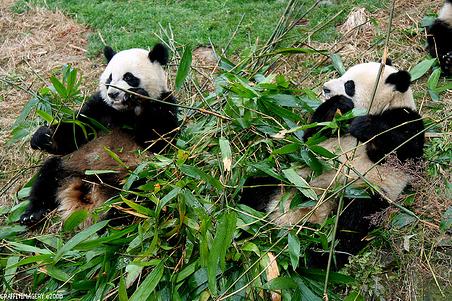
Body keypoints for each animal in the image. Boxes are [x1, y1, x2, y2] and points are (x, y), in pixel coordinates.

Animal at [19, 42, 178, 225]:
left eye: (129, 77)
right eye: (109, 79)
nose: (113, 94)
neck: (123, 112)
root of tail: (90, 186)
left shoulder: (165, 104)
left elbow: (159, 140)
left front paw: (139, 102)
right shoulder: (99, 108)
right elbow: (76, 132)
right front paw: (43, 137)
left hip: (135, 175)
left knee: (136, 195)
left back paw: (112, 217)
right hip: (69, 165)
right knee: (47, 176)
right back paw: (32, 213)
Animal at [242, 61, 426, 268]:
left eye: (349, 85)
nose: (325, 88)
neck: (387, 105)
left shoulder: (406, 119)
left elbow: (405, 154)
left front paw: (364, 126)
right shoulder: (323, 140)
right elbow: (311, 137)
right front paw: (337, 104)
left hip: (364, 192)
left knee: (349, 228)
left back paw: (317, 257)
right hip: (292, 175)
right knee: (257, 185)